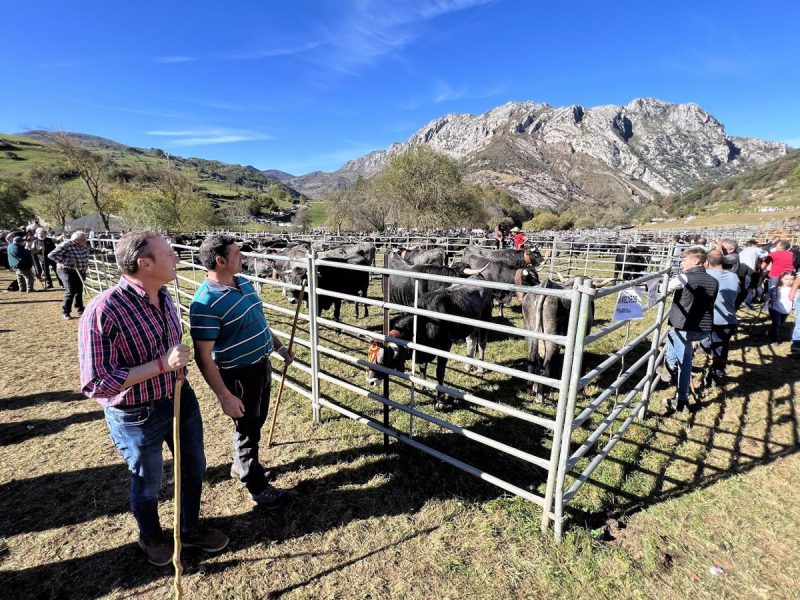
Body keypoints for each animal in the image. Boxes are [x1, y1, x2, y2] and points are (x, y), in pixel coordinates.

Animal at [368, 276, 494, 408]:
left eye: (383, 360)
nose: (370, 381)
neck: (425, 322)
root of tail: (478, 276)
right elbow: (422, 367)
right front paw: (422, 386)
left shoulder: (445, 347)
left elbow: (439, 373)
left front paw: (439, 400)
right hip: (470, 327)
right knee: (471, 342)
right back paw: (468, 366)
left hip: (485, 319)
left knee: (481, 343)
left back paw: (480, 368)